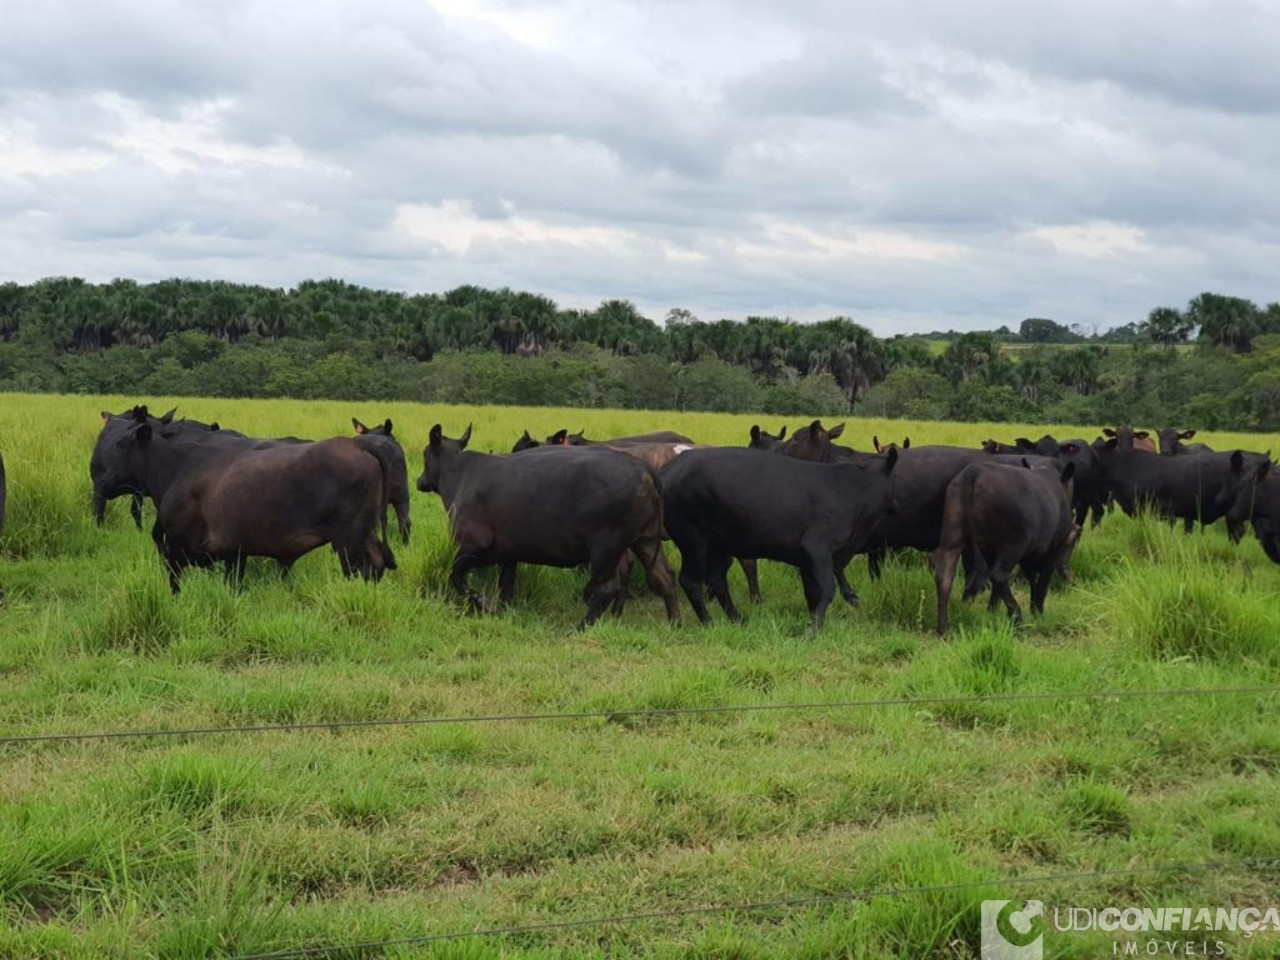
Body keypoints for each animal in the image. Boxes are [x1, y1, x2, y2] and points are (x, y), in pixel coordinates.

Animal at [100, 407, 394, 591]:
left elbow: (175, 584)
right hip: (365, 532)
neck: (175, 468)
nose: (102, 477)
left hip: (349, 538)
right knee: (378, 562)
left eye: (121, 444)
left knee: (360, 569)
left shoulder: (177, 547)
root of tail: (357, 445)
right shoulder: (233, 552)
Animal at [419, 424, 680, 627]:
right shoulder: (508, 552)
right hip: (645, 539)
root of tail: (642, 468)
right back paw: (674, 624)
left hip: (606, 547)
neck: (462, 475)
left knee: (607, 587)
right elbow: (506, 586)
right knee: (664, 576)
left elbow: (456, 576)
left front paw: (485, 604)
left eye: (424, 454)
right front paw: (502, 611)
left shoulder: (475, 546)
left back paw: (581, 627)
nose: (420, 481)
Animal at [660, 448, 901, 634]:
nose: (898, 505)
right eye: (895, 478)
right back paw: (708, 622)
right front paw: (814, 629)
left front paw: (813, 621)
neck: (853, 491)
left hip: (718, 545)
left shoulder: (807, 560)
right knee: (691, 580)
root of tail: (670, 468)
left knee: (717, 579)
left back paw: (737, 619)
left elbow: (813, 592)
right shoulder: (818, 548)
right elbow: (827, 588)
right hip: (694, 541)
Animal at [931, 460, 1080, 634]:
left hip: (952, 539)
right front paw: (1038, 613)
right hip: (1012, 545)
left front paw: (994, 610)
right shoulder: (1053, 548)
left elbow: (1030, 580)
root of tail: (975, 472)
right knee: (998, 576)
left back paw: (943, 628)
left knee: (945, 577)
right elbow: (1042, 583)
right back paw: (1017, 617)